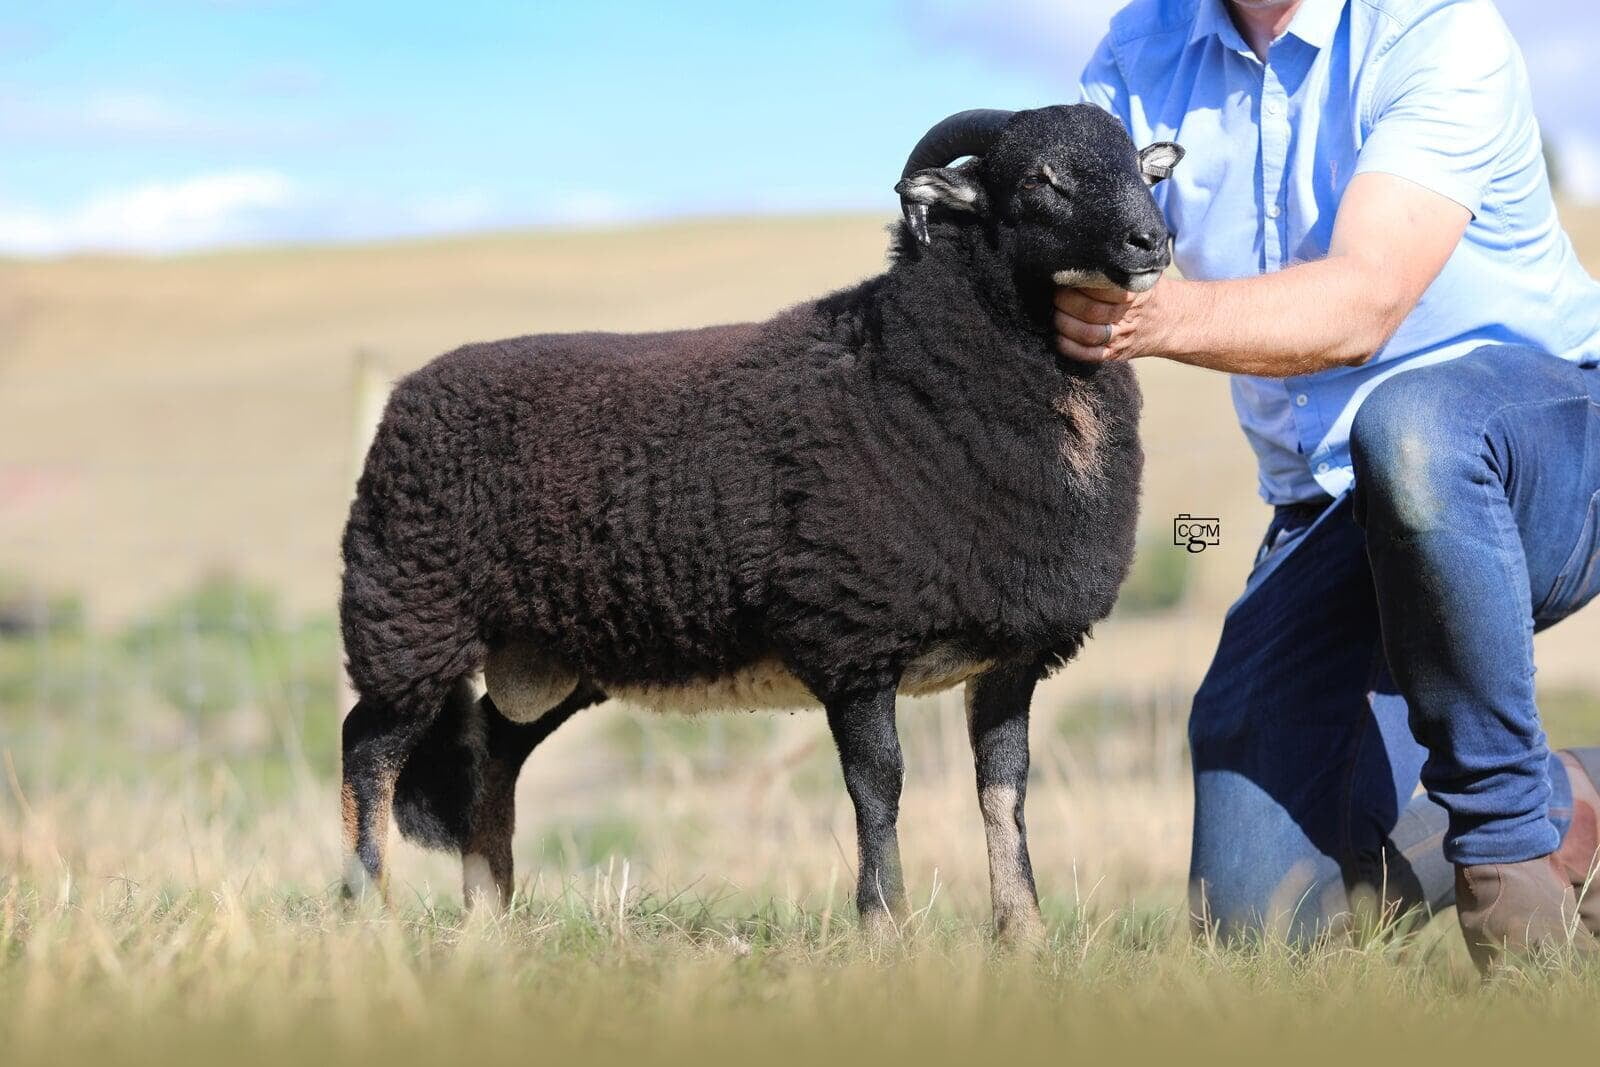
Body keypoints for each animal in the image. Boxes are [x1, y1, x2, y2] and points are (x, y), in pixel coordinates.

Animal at [339, 104, 1183, 944]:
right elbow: (879, 785)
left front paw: (1023, 933)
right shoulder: (853, 634)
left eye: (1139, 169)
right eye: (1041, 178)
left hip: (548, 655)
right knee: (367, 749)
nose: (1153, 240)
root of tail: (406, 394)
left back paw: (489, 912)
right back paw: (366, 910)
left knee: (493, 749)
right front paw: (886, 925)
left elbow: (1003, 791)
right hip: (410, 618)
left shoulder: (1012, 651)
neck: (907, 368)